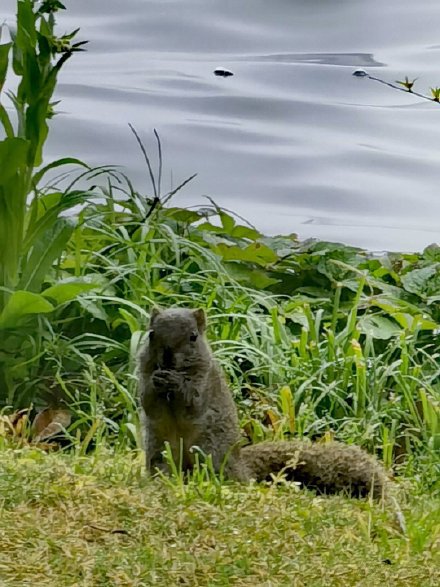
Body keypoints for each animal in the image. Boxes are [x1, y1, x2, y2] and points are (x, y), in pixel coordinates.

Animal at [139, 310, 390, 498]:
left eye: (193, 337)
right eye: (151, 334)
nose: (167, 358)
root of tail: (240, 466)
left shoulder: (205, 382)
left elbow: (193, 403)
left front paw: (175, 382)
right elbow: (147, 402)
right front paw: (157, 381)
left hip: (209, 450)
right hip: (159, 450)